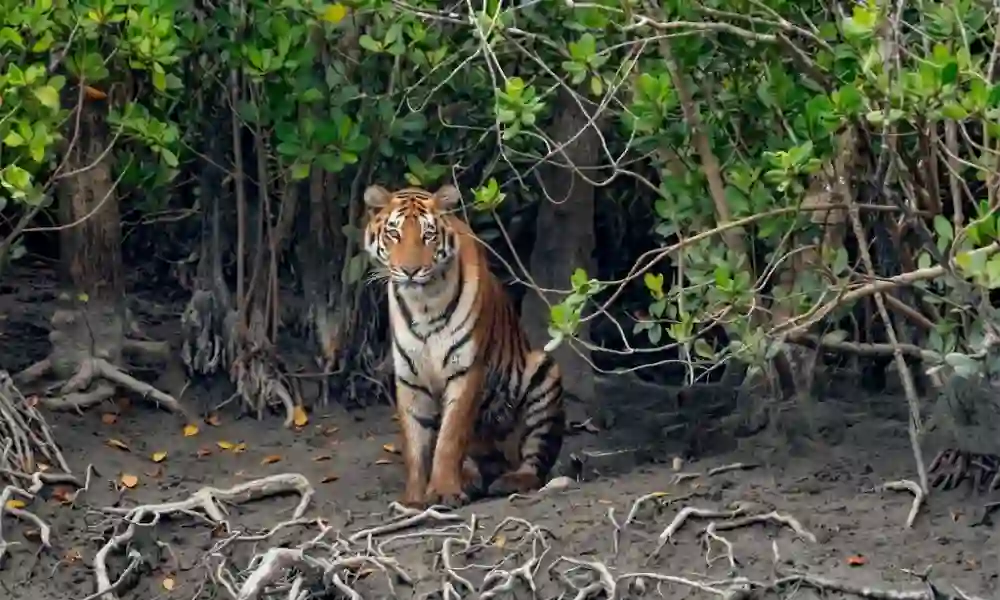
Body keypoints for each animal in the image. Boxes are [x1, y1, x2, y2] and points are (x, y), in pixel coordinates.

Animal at [363, 183, 566, 508]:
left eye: (428, 235)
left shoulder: (466, 369)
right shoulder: (410, 376)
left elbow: (450, 436)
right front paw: (414, 499)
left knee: (534, 460)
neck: (423, 303)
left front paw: (444, 491)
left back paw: (509, 480)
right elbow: (415, 444)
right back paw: (472, 478)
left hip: (543, 369)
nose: (409, 270)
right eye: (394, 233)